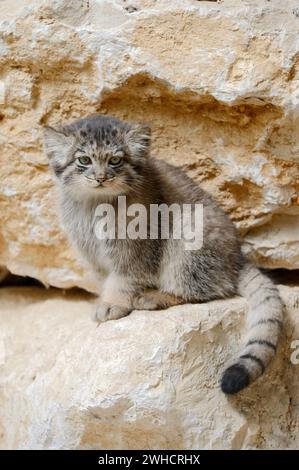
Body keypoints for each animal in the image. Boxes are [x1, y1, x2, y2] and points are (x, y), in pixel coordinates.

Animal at [43, 115, 284, 394]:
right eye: (83, 160)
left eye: (115, 160)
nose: (100, 178)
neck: (95, 203)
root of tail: (237, 259)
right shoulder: (91, 253)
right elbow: (106, 278)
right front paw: (105, 299)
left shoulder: (135, 249)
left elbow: (123, 279)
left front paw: (113, 303)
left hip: (188, 231)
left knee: (205, 289)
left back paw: (156, 297)